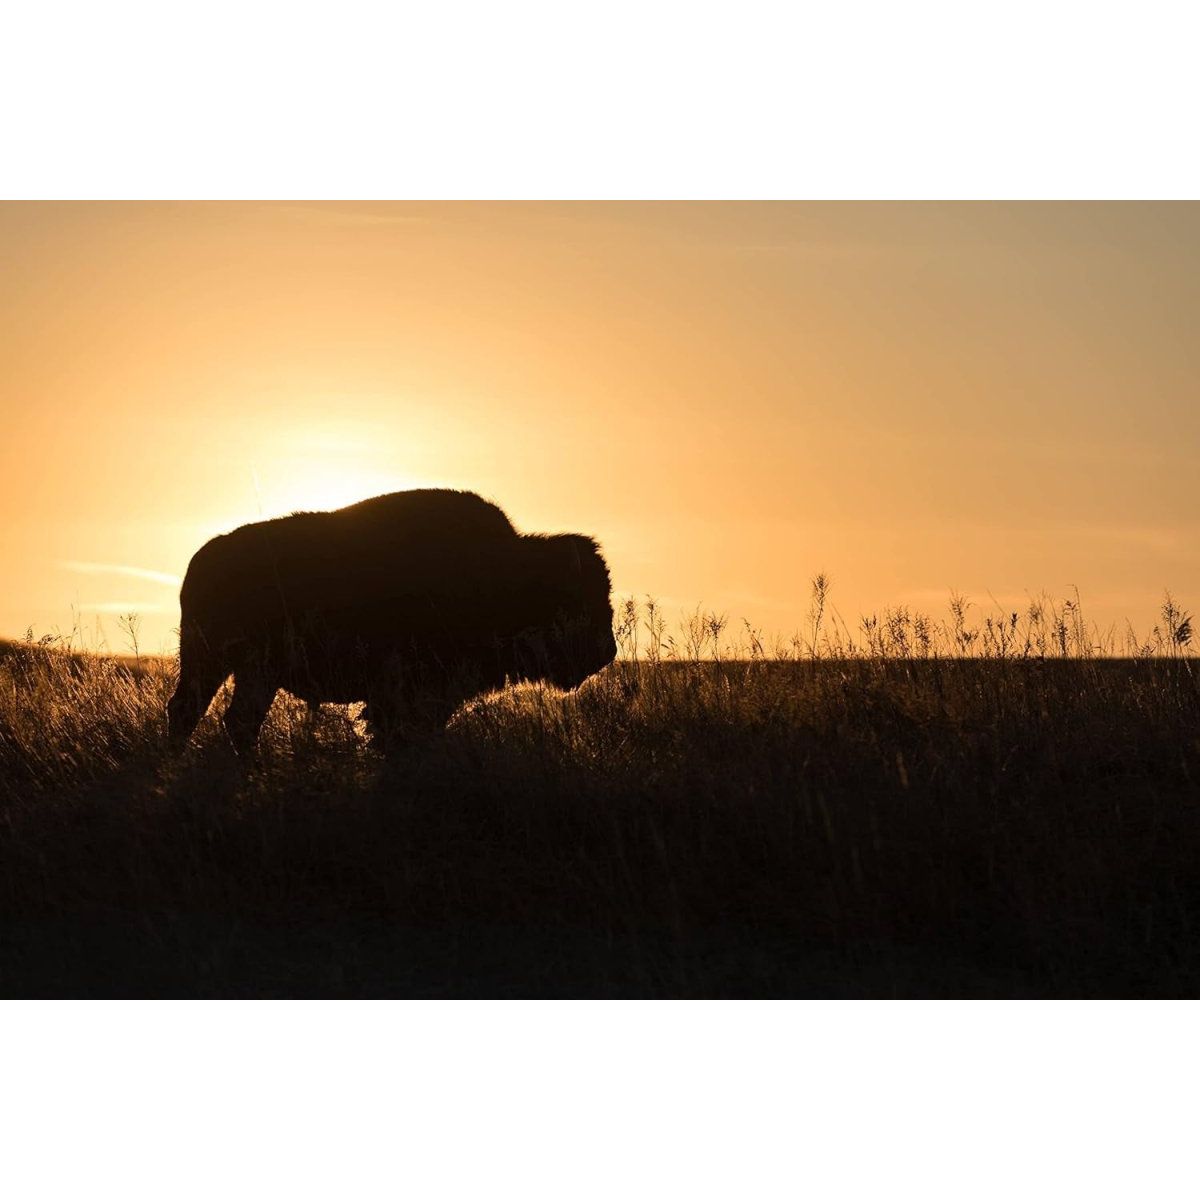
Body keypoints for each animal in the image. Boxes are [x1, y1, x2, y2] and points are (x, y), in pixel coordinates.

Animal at [167, 489, 617, 753]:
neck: (505, 574)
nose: (607, 650)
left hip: (236, 669)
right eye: (578, 597)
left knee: (212, 714)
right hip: (236, 666)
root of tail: (202, 559)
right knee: (217, 716)